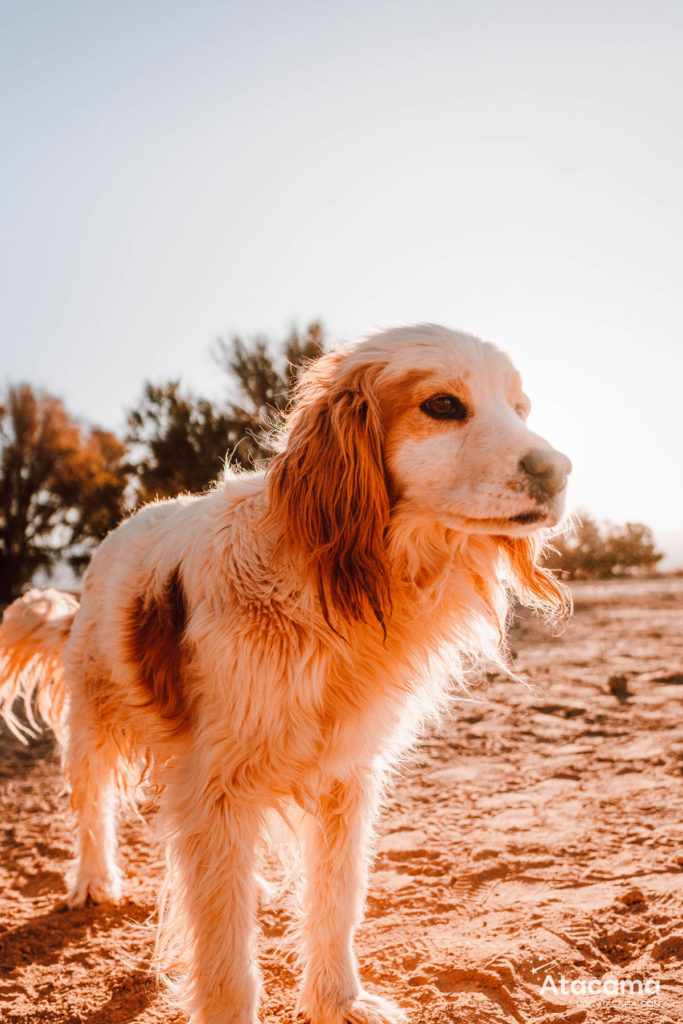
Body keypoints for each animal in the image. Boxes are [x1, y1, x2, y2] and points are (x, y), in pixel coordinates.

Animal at [0, 325, 573, 1024]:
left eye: (520, 410)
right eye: (442, 405)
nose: (560, 469)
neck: (329, 585)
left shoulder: (346, 778)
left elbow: (335, 901)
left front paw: (338, 1000)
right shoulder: (216, 787)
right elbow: (225, 957)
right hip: (94, 719)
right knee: (92, 808)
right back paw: (92, 881)